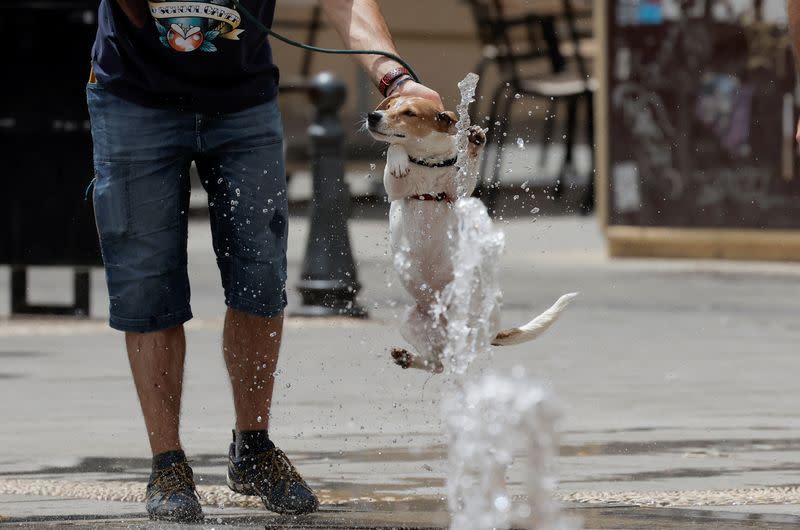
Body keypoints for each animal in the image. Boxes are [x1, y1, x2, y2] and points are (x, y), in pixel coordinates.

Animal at [366, 95, 580, 372]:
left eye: (409, 113)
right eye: (389, 107)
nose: (372, 116)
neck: (428, 162)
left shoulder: (459, 191)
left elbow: (467, 171)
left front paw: (475, 142)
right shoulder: (396, 191)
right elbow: (395, 149)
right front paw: (399, 160)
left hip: (472, 319)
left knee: (457, 353)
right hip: (410, 322)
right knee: (437, 363)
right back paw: (408, 357)